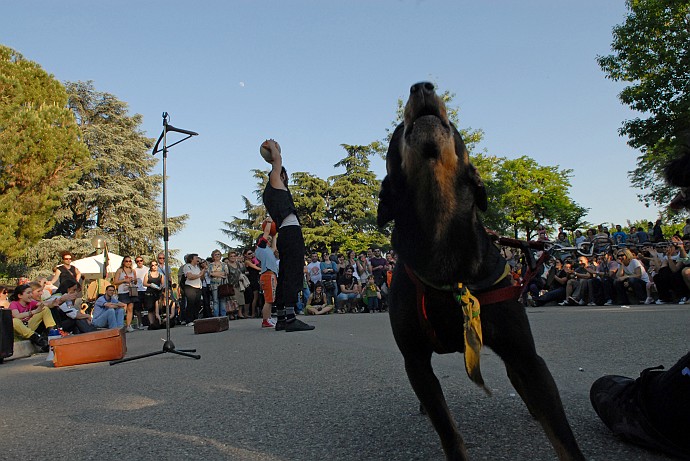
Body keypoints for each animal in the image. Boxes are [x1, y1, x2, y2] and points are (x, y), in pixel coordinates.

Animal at [376, 82, 580, 460]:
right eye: (399, 130)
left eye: (454, 126)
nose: (421, 86)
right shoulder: (415, 359)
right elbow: (448, 430)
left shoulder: (525, 355)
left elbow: (563, 437)